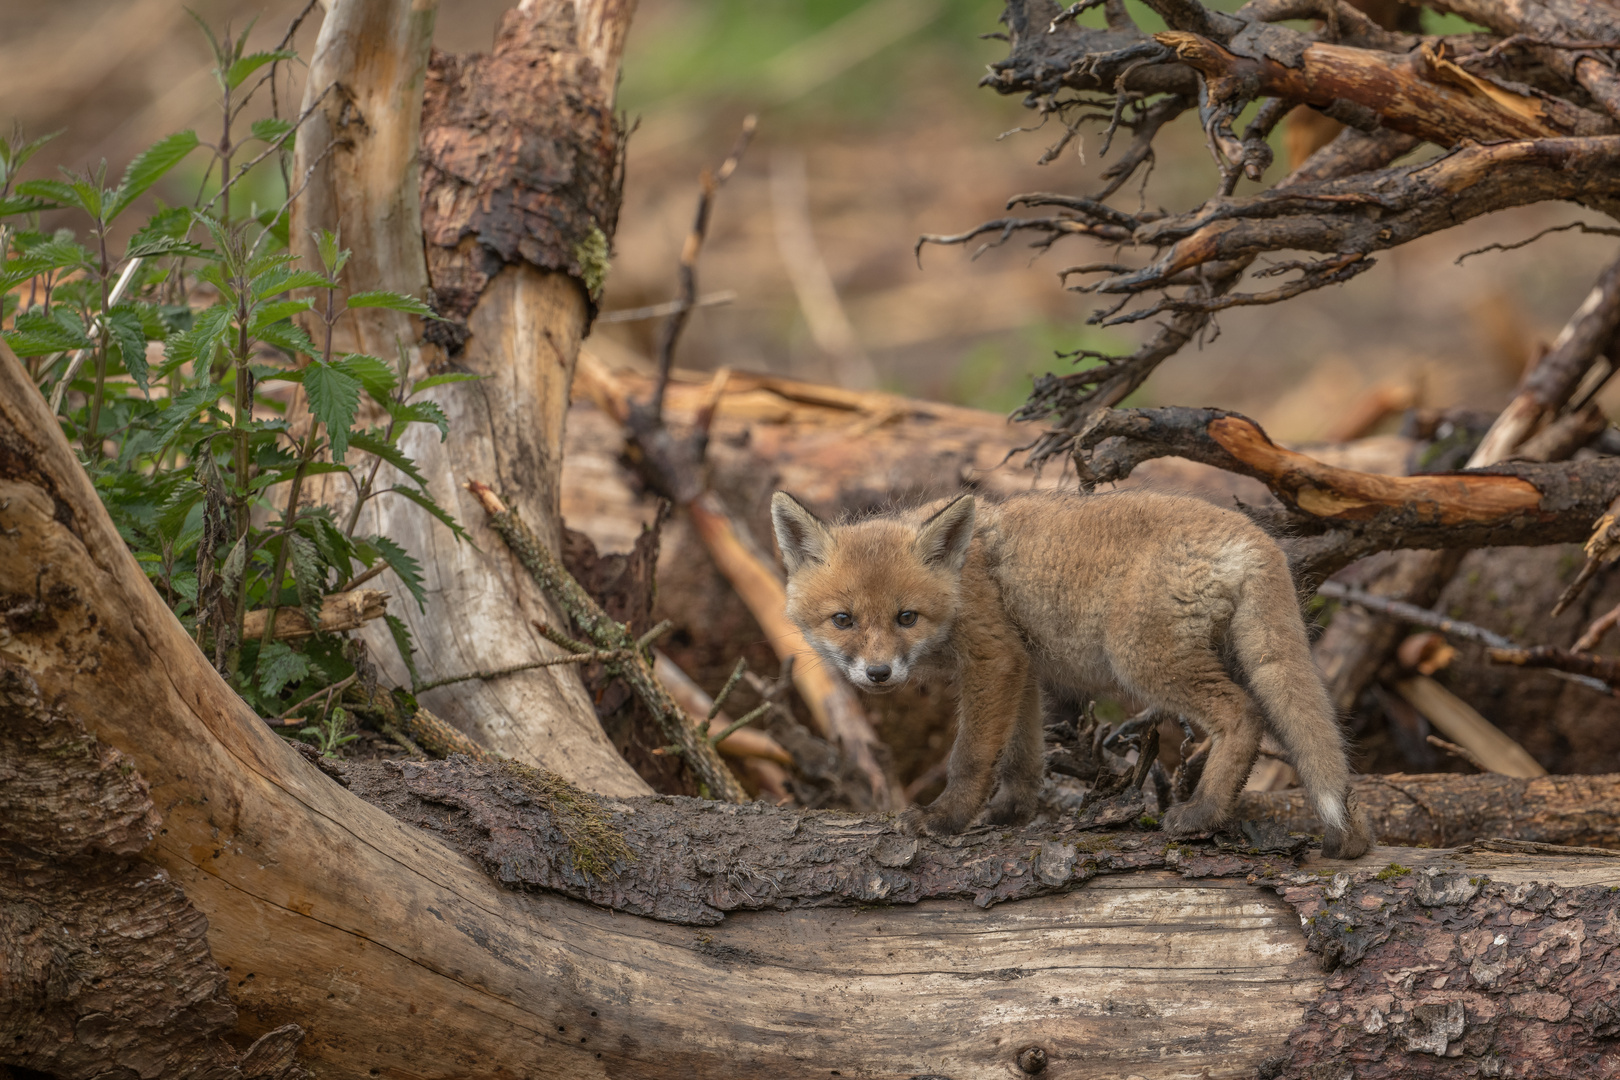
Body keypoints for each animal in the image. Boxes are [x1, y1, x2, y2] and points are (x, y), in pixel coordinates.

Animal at [774, 488, 1380, 861]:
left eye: (906, 618)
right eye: (844, 620)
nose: (878, 674)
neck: (965, 578)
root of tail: (1257, 538)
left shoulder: (993, 659)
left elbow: (971, 756)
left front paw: (945, 820)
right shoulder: (1022, 667)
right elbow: (1022, 756)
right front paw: (1012, 814)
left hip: (1141, 658)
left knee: (1242, 714)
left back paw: (1202, 814)